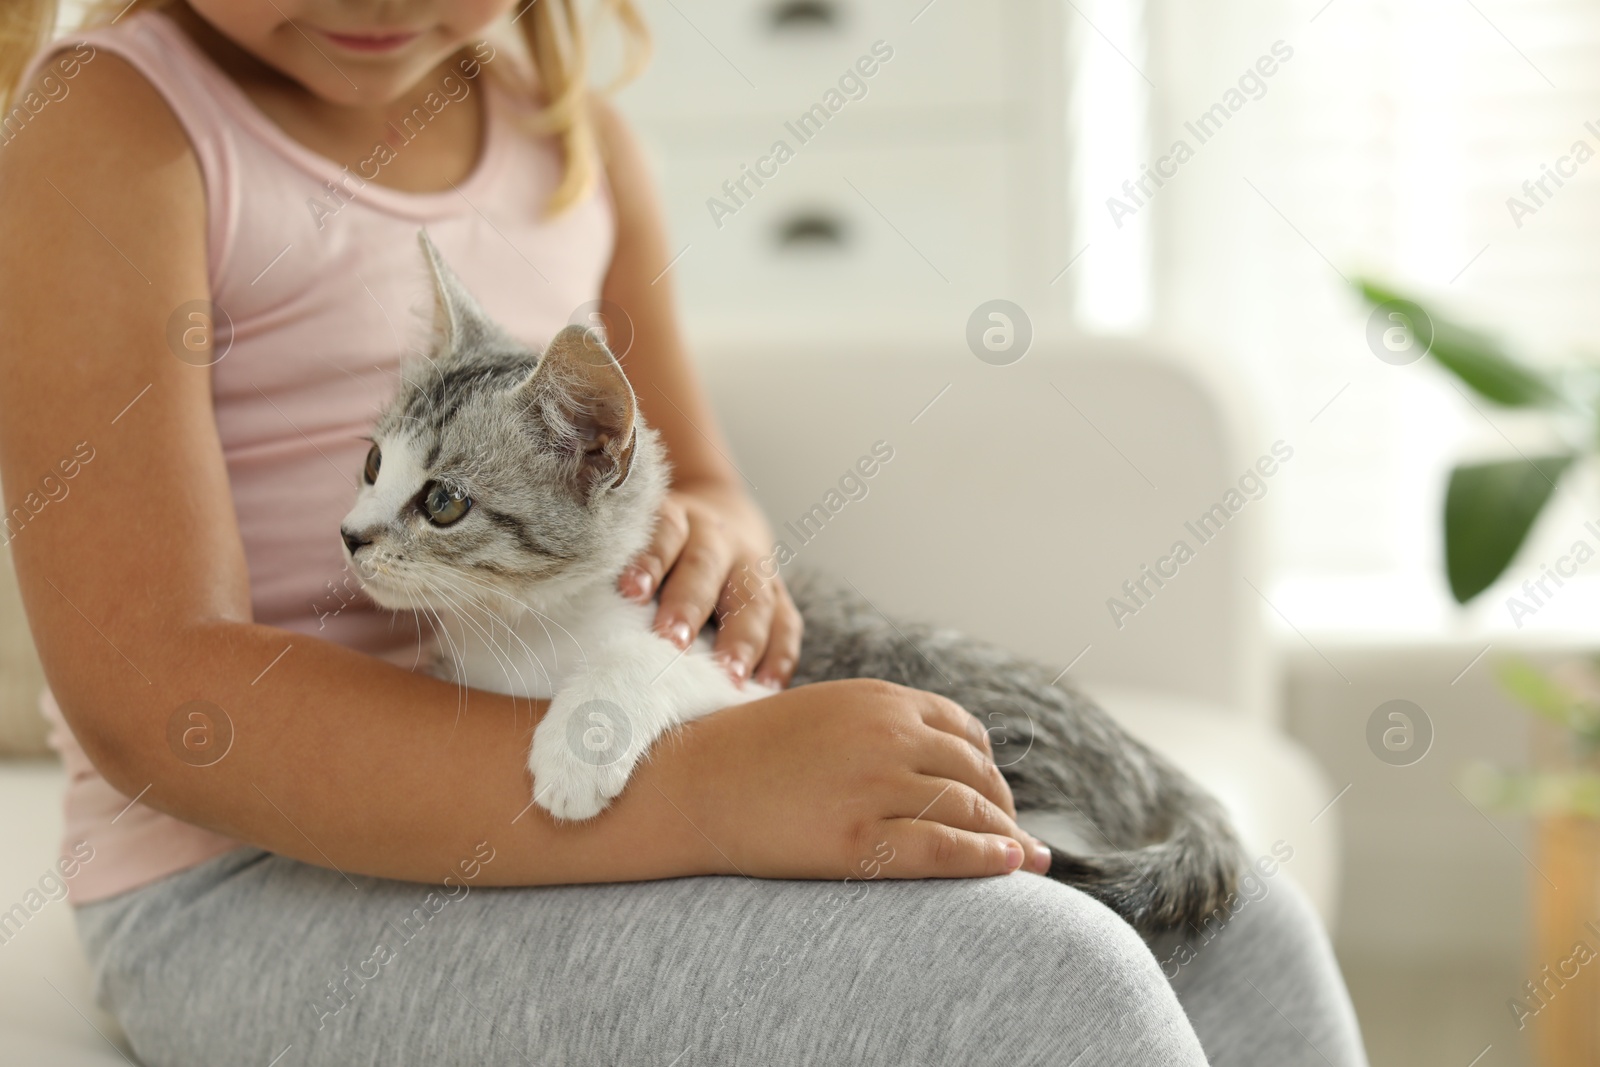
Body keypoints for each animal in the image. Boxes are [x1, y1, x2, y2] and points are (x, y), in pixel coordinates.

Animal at [344, 233, 1248, 934]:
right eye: (373, 463)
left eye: (444, 502)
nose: (350, 536)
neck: (524, 631)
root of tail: (1146, 759)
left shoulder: (741, 663)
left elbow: (654, 662)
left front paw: (576, 748)